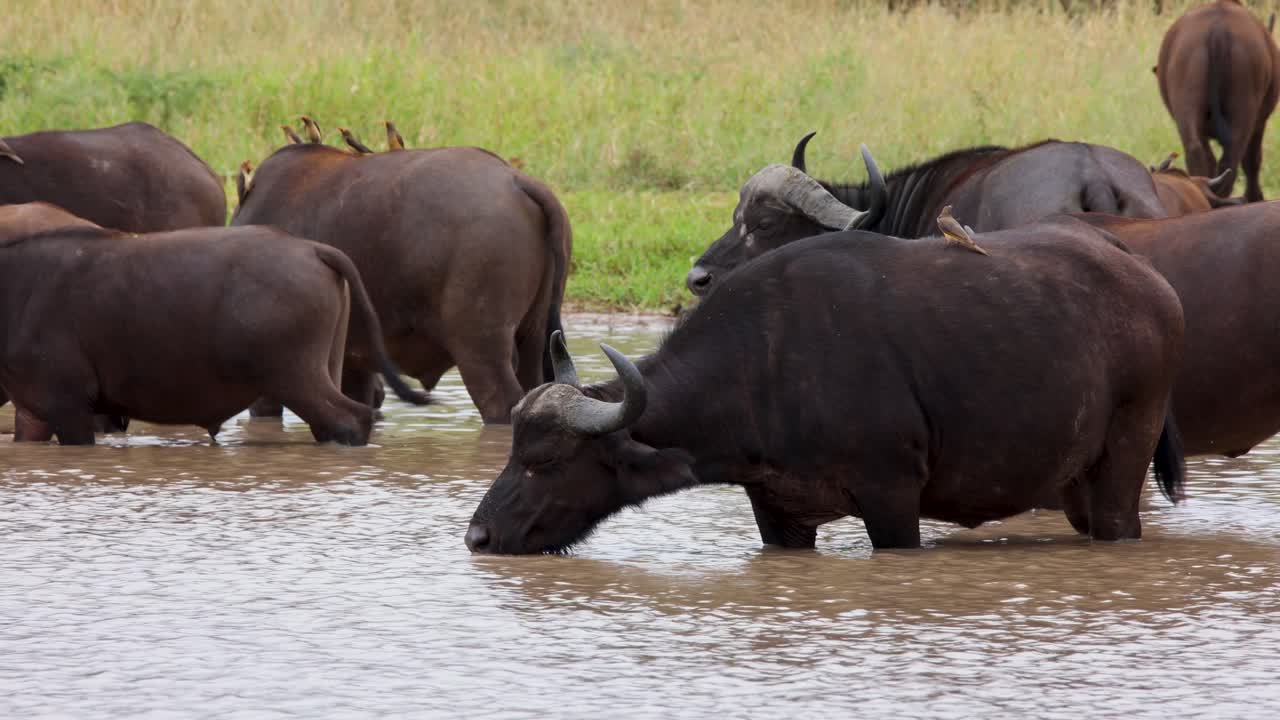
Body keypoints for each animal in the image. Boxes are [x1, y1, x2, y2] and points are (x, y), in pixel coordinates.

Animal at [0, 212, 427, 445]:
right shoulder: (33, 412)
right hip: (326, 367)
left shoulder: (69, 407)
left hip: (297, 378)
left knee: (349, 419)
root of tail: (310, 248)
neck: (16, 287)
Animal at [466, 218, 1185, 554]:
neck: (766, 365)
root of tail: (1146, 278)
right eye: (512, 453)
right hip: (1073, 481)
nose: (478, 538)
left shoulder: (892, 497)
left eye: (545, 462)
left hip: (1126, 456)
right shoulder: (777, 512)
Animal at [1156, 0, 1279, 201]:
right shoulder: (1260, 123)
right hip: (1244, 114)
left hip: (1187, 108)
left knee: (1197, 152)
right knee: (1233, 161)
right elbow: (1252, 160)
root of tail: (1218, 29)